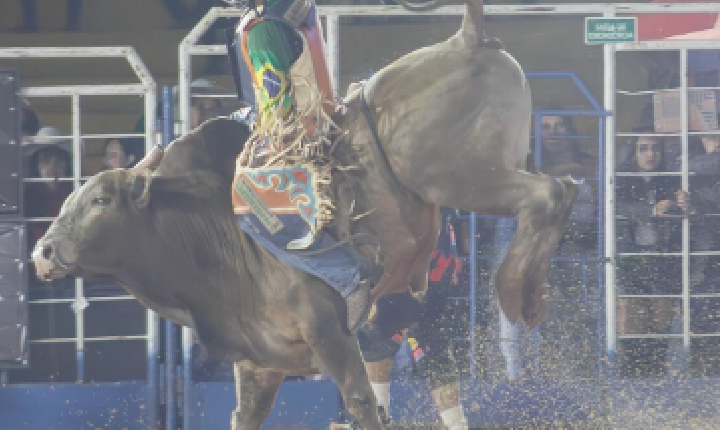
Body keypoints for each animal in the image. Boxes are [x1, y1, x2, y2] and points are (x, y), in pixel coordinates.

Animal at [33, 1, 576, 428]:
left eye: (101, 201)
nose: (43, 252)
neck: (216, 234)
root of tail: (467, 37)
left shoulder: (329, 331)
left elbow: (361, 402)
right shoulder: (259, 363)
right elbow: (246, 416)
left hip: (459, 175)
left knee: (548, 194)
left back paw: (514, 290)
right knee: (560, 192)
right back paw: (530, 294)